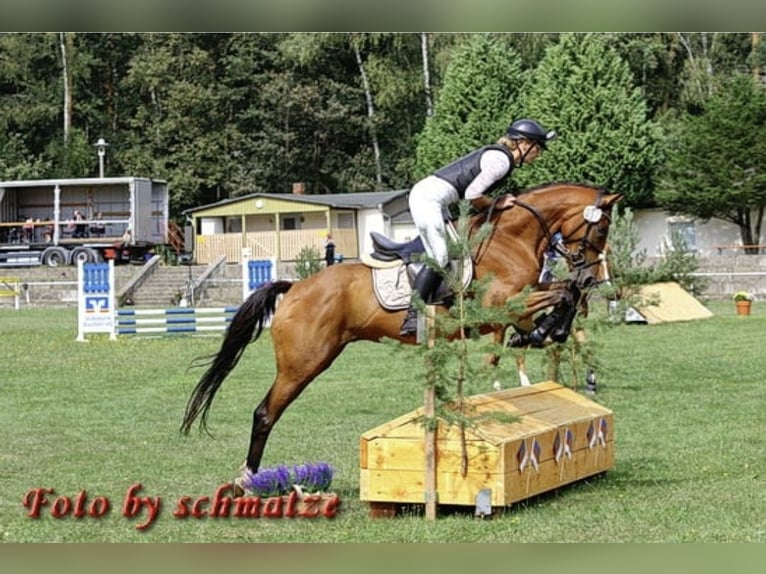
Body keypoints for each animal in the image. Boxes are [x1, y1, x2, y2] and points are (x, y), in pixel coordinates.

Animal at [180, 182, 622, 487]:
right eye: (601, 231)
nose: (590, 274)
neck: (511, 238)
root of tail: (295, 287)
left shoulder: (516, 305)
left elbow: (561, 295)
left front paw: (545, 332)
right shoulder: (500, 307)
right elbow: (562, 293)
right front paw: (548, 328)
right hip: (303, 363)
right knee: (265, 413)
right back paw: (248, 478)